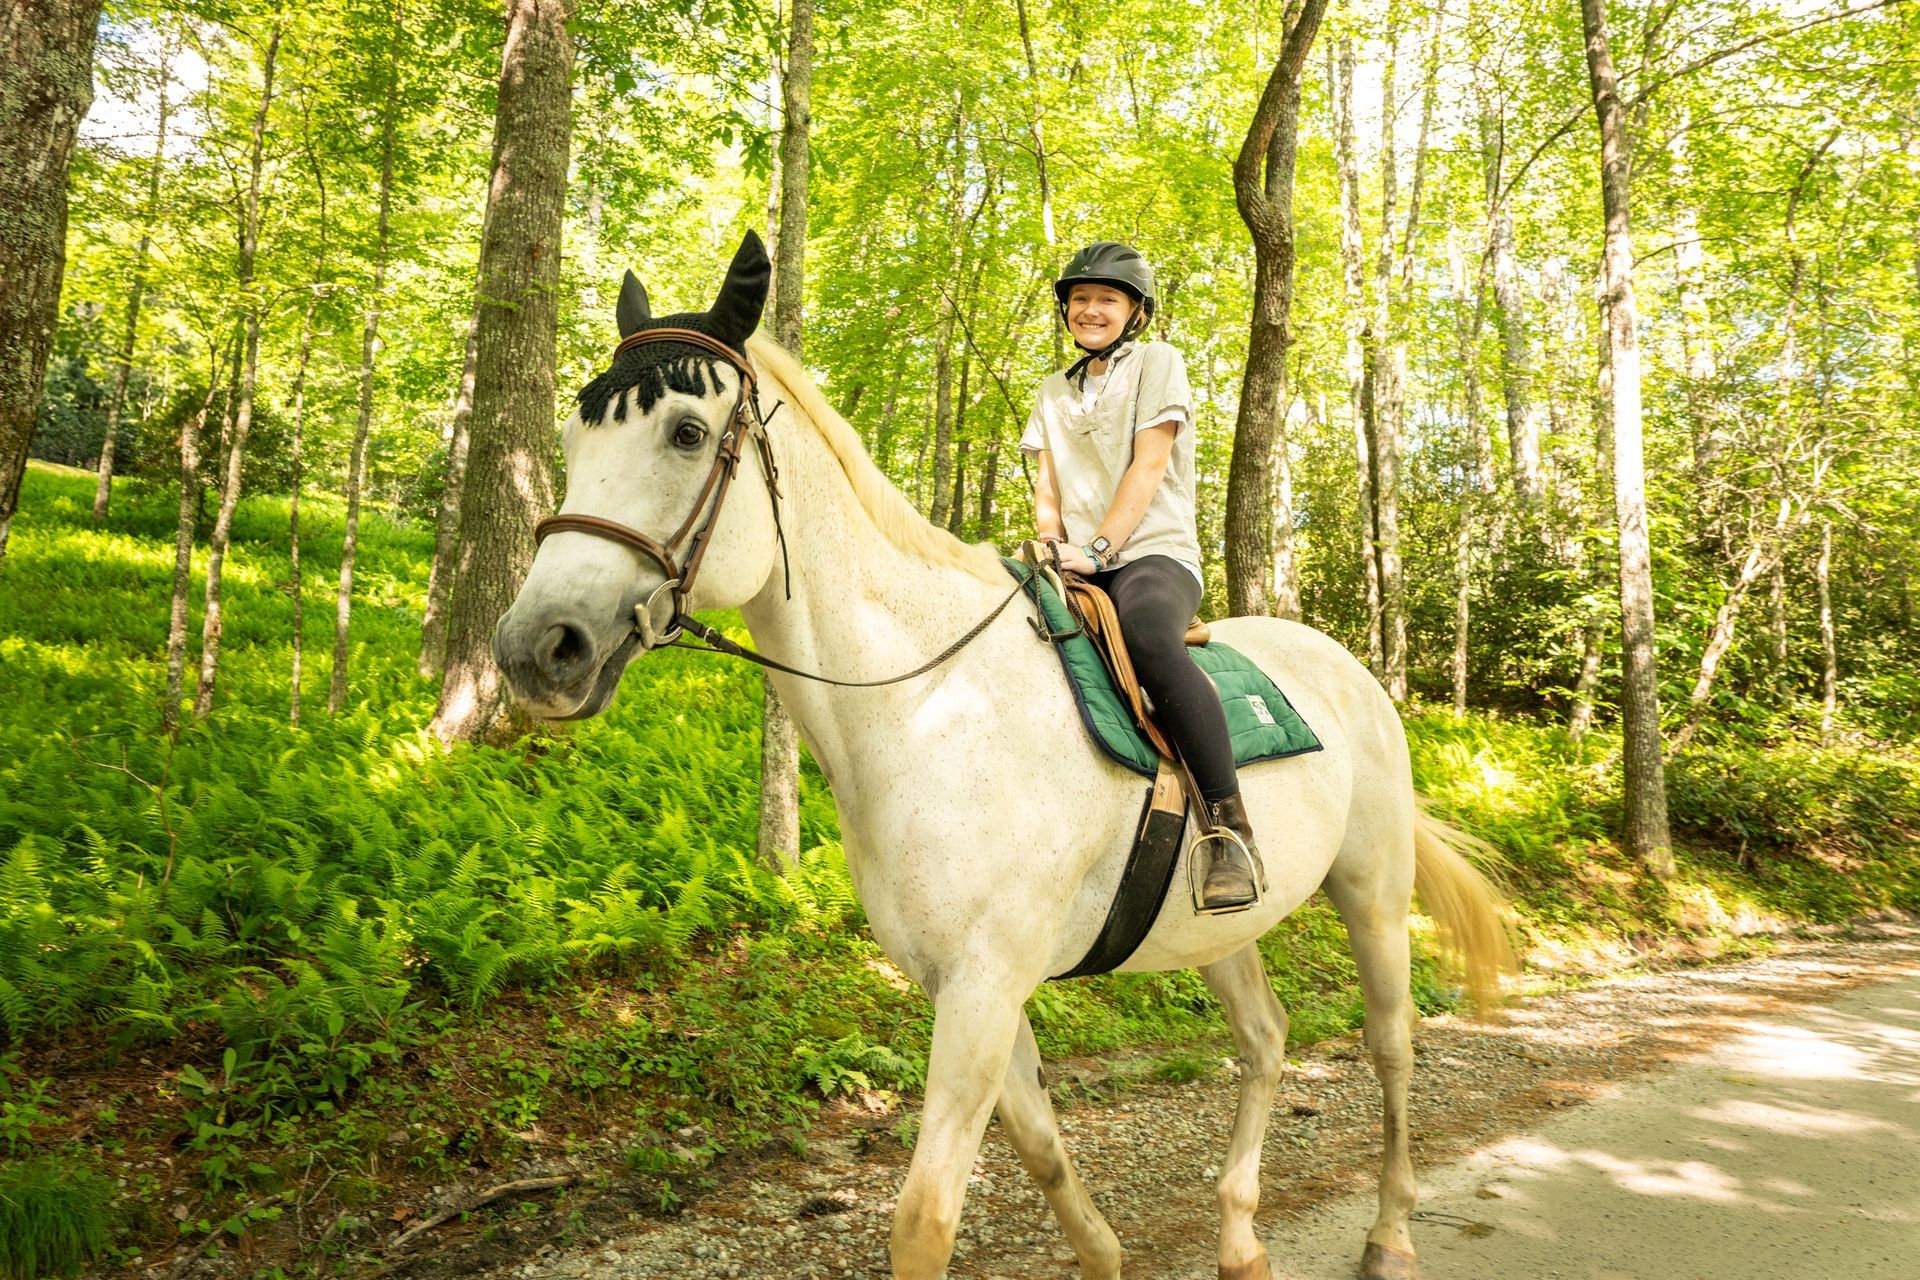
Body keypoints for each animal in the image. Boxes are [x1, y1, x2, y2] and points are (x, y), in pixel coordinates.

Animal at [492, 232, 1516, 1280]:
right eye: (572, 441)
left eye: (688, 434)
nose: (537, 649)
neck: (929, 707)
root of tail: (1349, 670)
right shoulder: (968, 991)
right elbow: (1041, 1150)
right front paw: (1104, 1255)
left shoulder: (984, 989)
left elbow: (924, 1219)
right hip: (1216, 925)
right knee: (1267, 1040)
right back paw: (1239, 1238)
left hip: (1372, 891)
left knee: (1390, 1044)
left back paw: (1390, 1234)